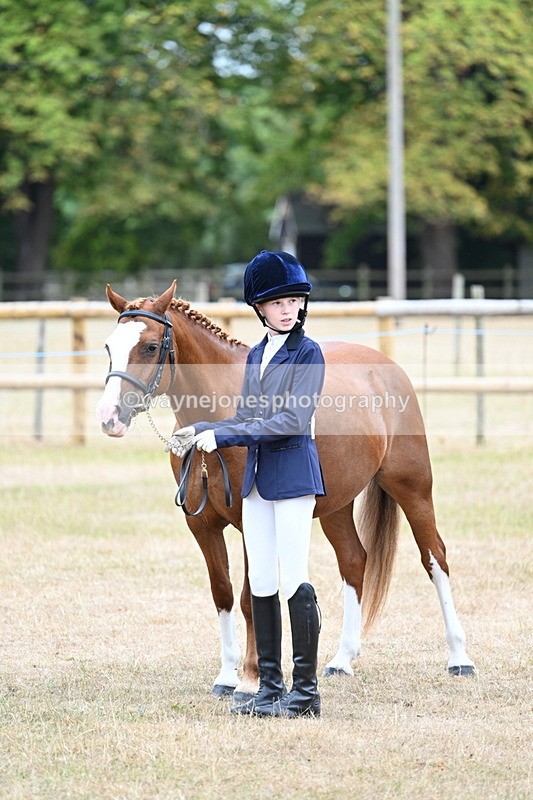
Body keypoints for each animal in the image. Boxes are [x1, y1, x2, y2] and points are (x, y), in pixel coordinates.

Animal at [96, 281, 475, 698]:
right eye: (109, 346)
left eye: (150, 347)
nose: (109, 418)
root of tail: (384, 366)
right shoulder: (203, 527)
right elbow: (222, 593)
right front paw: (226, 676)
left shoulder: (250, 524)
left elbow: (250, 597)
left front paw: (249, 679)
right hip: (335, 506)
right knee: (354, 561)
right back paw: (342, 660)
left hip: (412, 487)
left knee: (435, 558)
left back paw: (459, 658)